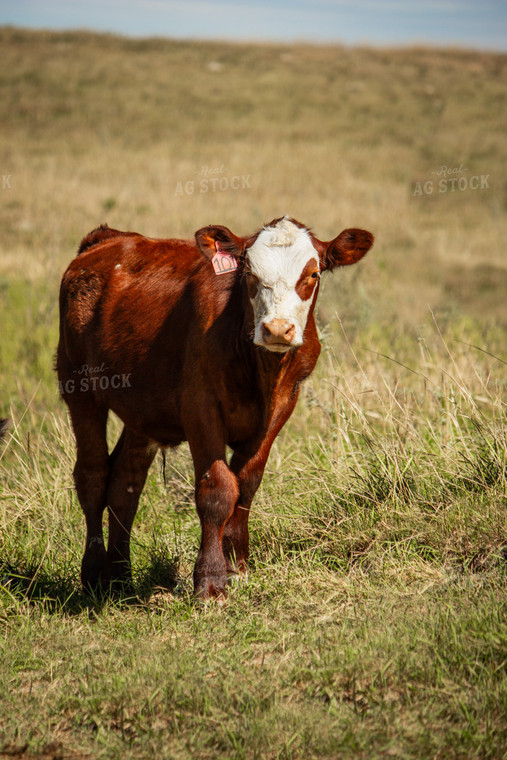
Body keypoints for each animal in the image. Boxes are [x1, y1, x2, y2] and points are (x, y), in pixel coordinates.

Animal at [57, 215, 374, 600]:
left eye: (312, 274)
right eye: (249, 273)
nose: (277, 329)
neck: (261, 369)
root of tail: (107, 239)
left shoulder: (282, 407)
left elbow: (246, 485)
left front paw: (237, 567)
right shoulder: (200, 406)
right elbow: (218, 489)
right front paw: (210, 581)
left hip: (142, 410)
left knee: (125, 482)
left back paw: (120, 577)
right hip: (79, 386)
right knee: (92, 475)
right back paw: (91, 575)